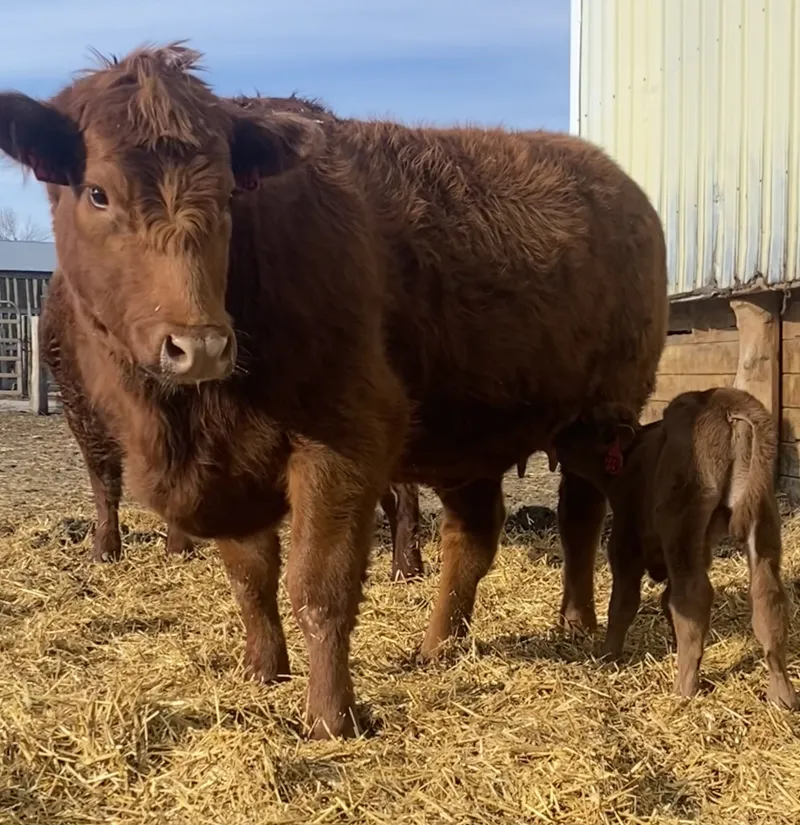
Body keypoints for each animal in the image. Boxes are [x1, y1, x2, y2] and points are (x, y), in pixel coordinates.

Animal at [551, 389, 798, 710]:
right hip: (763, 519)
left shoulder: (626, 535)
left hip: (681, 521)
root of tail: (726, 403)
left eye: (583, 424)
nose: (555, 439)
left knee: (694, 595)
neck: (633, 456)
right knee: (767, 596)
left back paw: (685, 687)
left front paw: (608, 655)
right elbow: (668, 601)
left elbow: (625, 601)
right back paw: (782, 695)